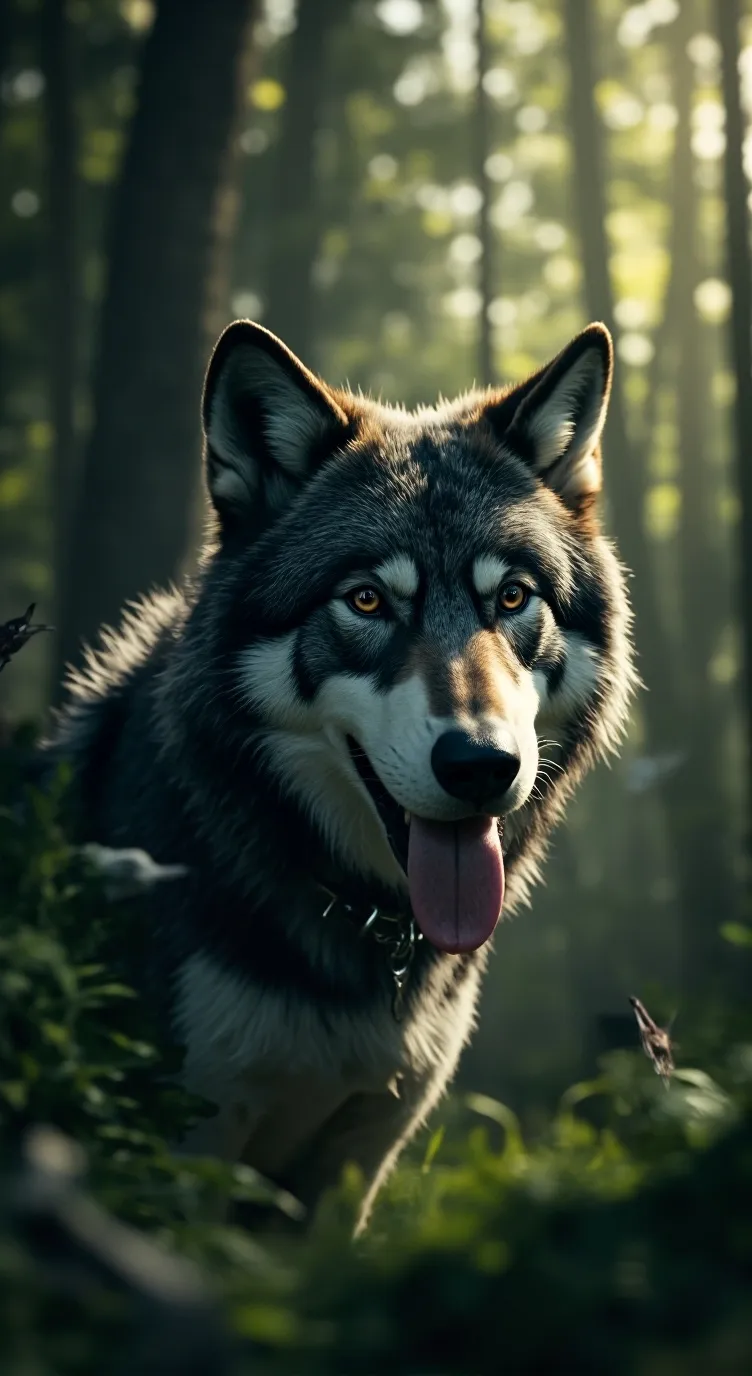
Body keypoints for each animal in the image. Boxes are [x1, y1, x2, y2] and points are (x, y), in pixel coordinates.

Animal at [47, 318, 635, 1232]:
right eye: (366, 601)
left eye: (511, 599)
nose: (482, 765)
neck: (367, 934)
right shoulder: (184, 1145)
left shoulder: (359, 1158)